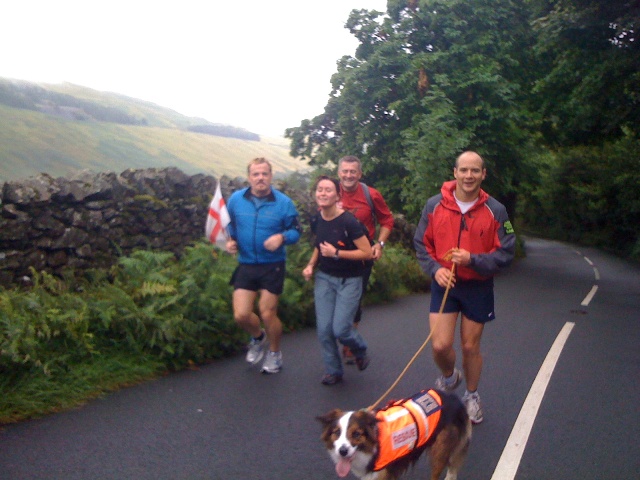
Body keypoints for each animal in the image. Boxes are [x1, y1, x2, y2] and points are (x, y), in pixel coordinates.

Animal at [316, 388, 470, 478]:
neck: (373, 447)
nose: (342, 451)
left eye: (356, 434)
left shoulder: (383, 474)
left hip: (439, 451)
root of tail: (455, 400)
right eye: (337, 432)